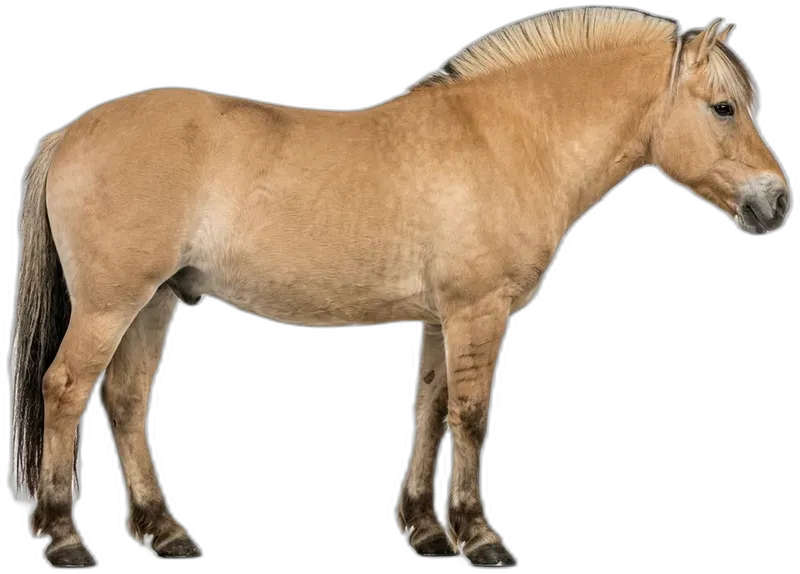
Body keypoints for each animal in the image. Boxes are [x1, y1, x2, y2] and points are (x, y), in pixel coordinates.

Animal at [9, 6, 791, 570]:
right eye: (724, 108)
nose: (777, 201)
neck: (508, 138)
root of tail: (69, 134)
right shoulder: (478, 312)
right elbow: (471, 417)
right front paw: (479, 537)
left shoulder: (441, 318)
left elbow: (429, 409)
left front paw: (426, 531)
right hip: (111, 304)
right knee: (67, 390)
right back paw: (64, 537)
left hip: (156, 302)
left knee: (125, 400)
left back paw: (162, 530)